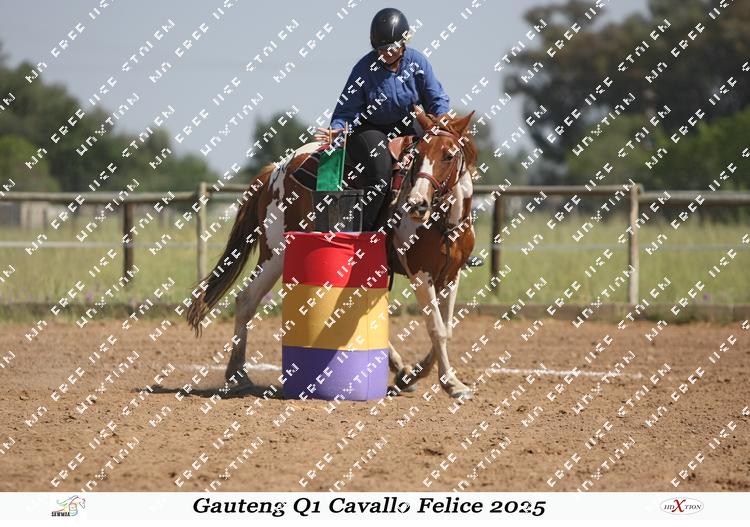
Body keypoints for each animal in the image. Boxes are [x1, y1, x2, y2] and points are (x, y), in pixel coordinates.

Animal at [186, 105, 478, 399]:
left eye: (448, 155)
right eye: (418, 155)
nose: (417, 204)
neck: (444, 221)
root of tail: (276, 169)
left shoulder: (451, 275)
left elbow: (446, 328)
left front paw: (419, 374)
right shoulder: (420, 273)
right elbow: (436, 327)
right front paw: (451, 384)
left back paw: (401, 368)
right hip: (275, 253)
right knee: (246, 300)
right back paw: (238, 374)